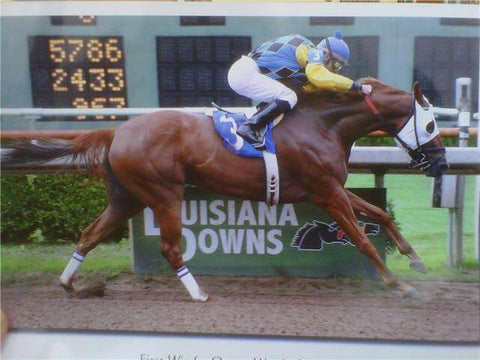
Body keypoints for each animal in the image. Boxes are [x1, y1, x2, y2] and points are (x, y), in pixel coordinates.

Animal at [2, 78, 450, 300]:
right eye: (430, 123)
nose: (442, 162)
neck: (323, 124)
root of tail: (118, 131)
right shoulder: (325, 192)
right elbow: (361, 238)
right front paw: (399, 285)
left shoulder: (330, 187)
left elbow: (379, 214)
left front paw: (415, 260)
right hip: (164, 192)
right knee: (169, 247)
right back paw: (198, 292)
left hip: (126, 197)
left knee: (89, 235)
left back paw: (70, 285)